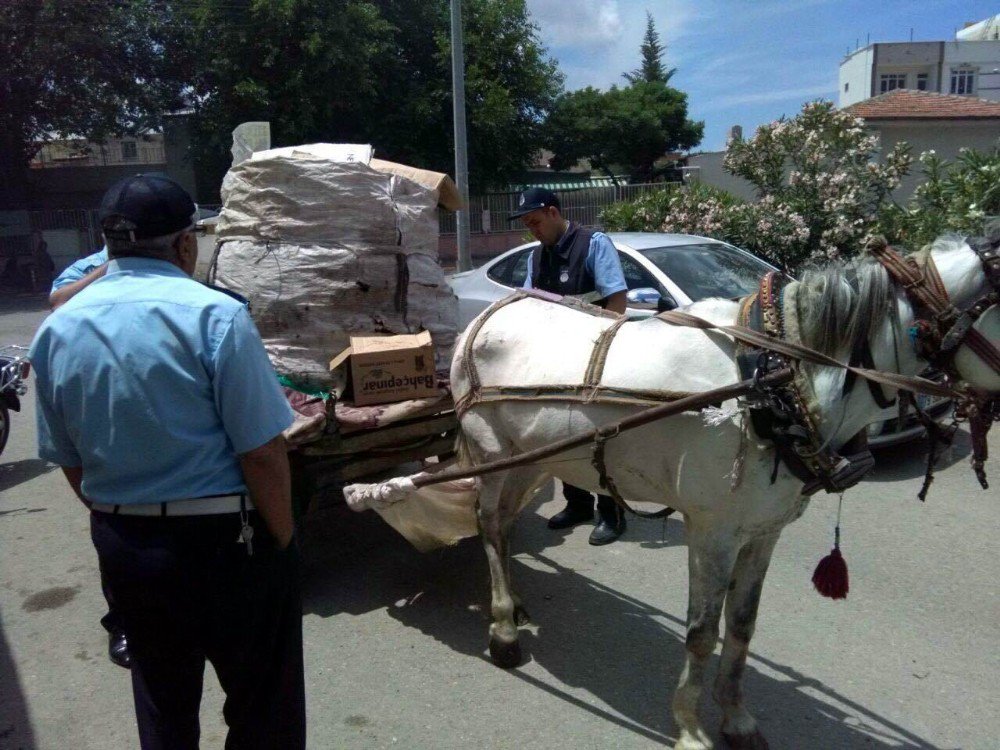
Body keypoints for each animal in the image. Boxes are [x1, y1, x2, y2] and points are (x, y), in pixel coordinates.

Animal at [452, 236, 992, 750]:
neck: (770, 380)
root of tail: (485, 316)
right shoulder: (713, 531)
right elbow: (701, 632)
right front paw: (691, 729)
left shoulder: (763, 530)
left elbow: (742, 625)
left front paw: (736, 719)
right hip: (492, 454)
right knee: (491, 526)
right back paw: (503, 632)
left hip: (531, 459)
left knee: (504, 527)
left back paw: (515, 605)